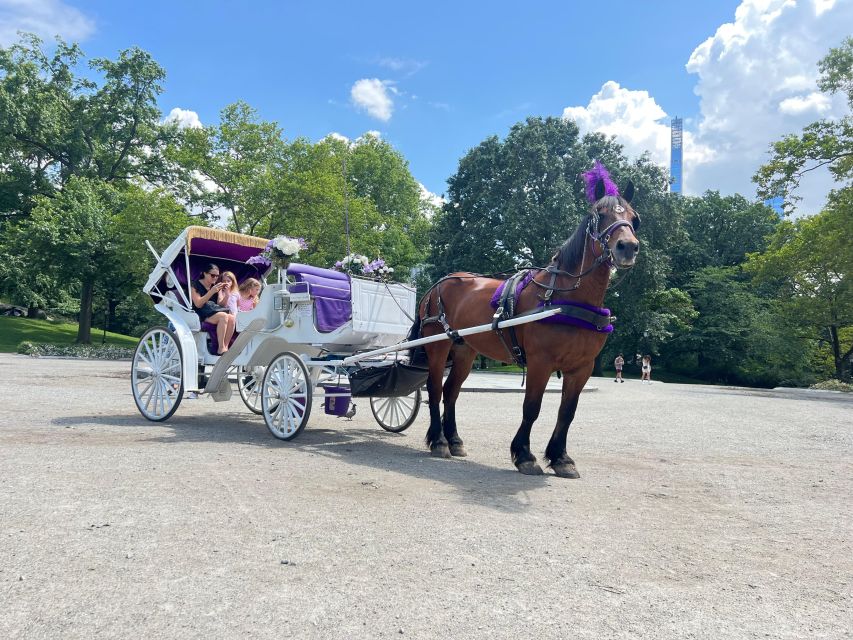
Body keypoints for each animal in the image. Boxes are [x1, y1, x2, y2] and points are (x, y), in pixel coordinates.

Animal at [412, 172, 640, 478]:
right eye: (599, 215)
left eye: (634, 218)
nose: (627, 246)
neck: (566, 297)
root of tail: (438, 284)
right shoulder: (540, 361)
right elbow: (532, 407)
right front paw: (524, 455)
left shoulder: (582, 367)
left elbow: (567, 413)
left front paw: (561, 458)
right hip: (437, 345)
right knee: (436, 390)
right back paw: (438, 441)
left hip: (465, 351)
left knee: (450, 392)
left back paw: (454, 440)